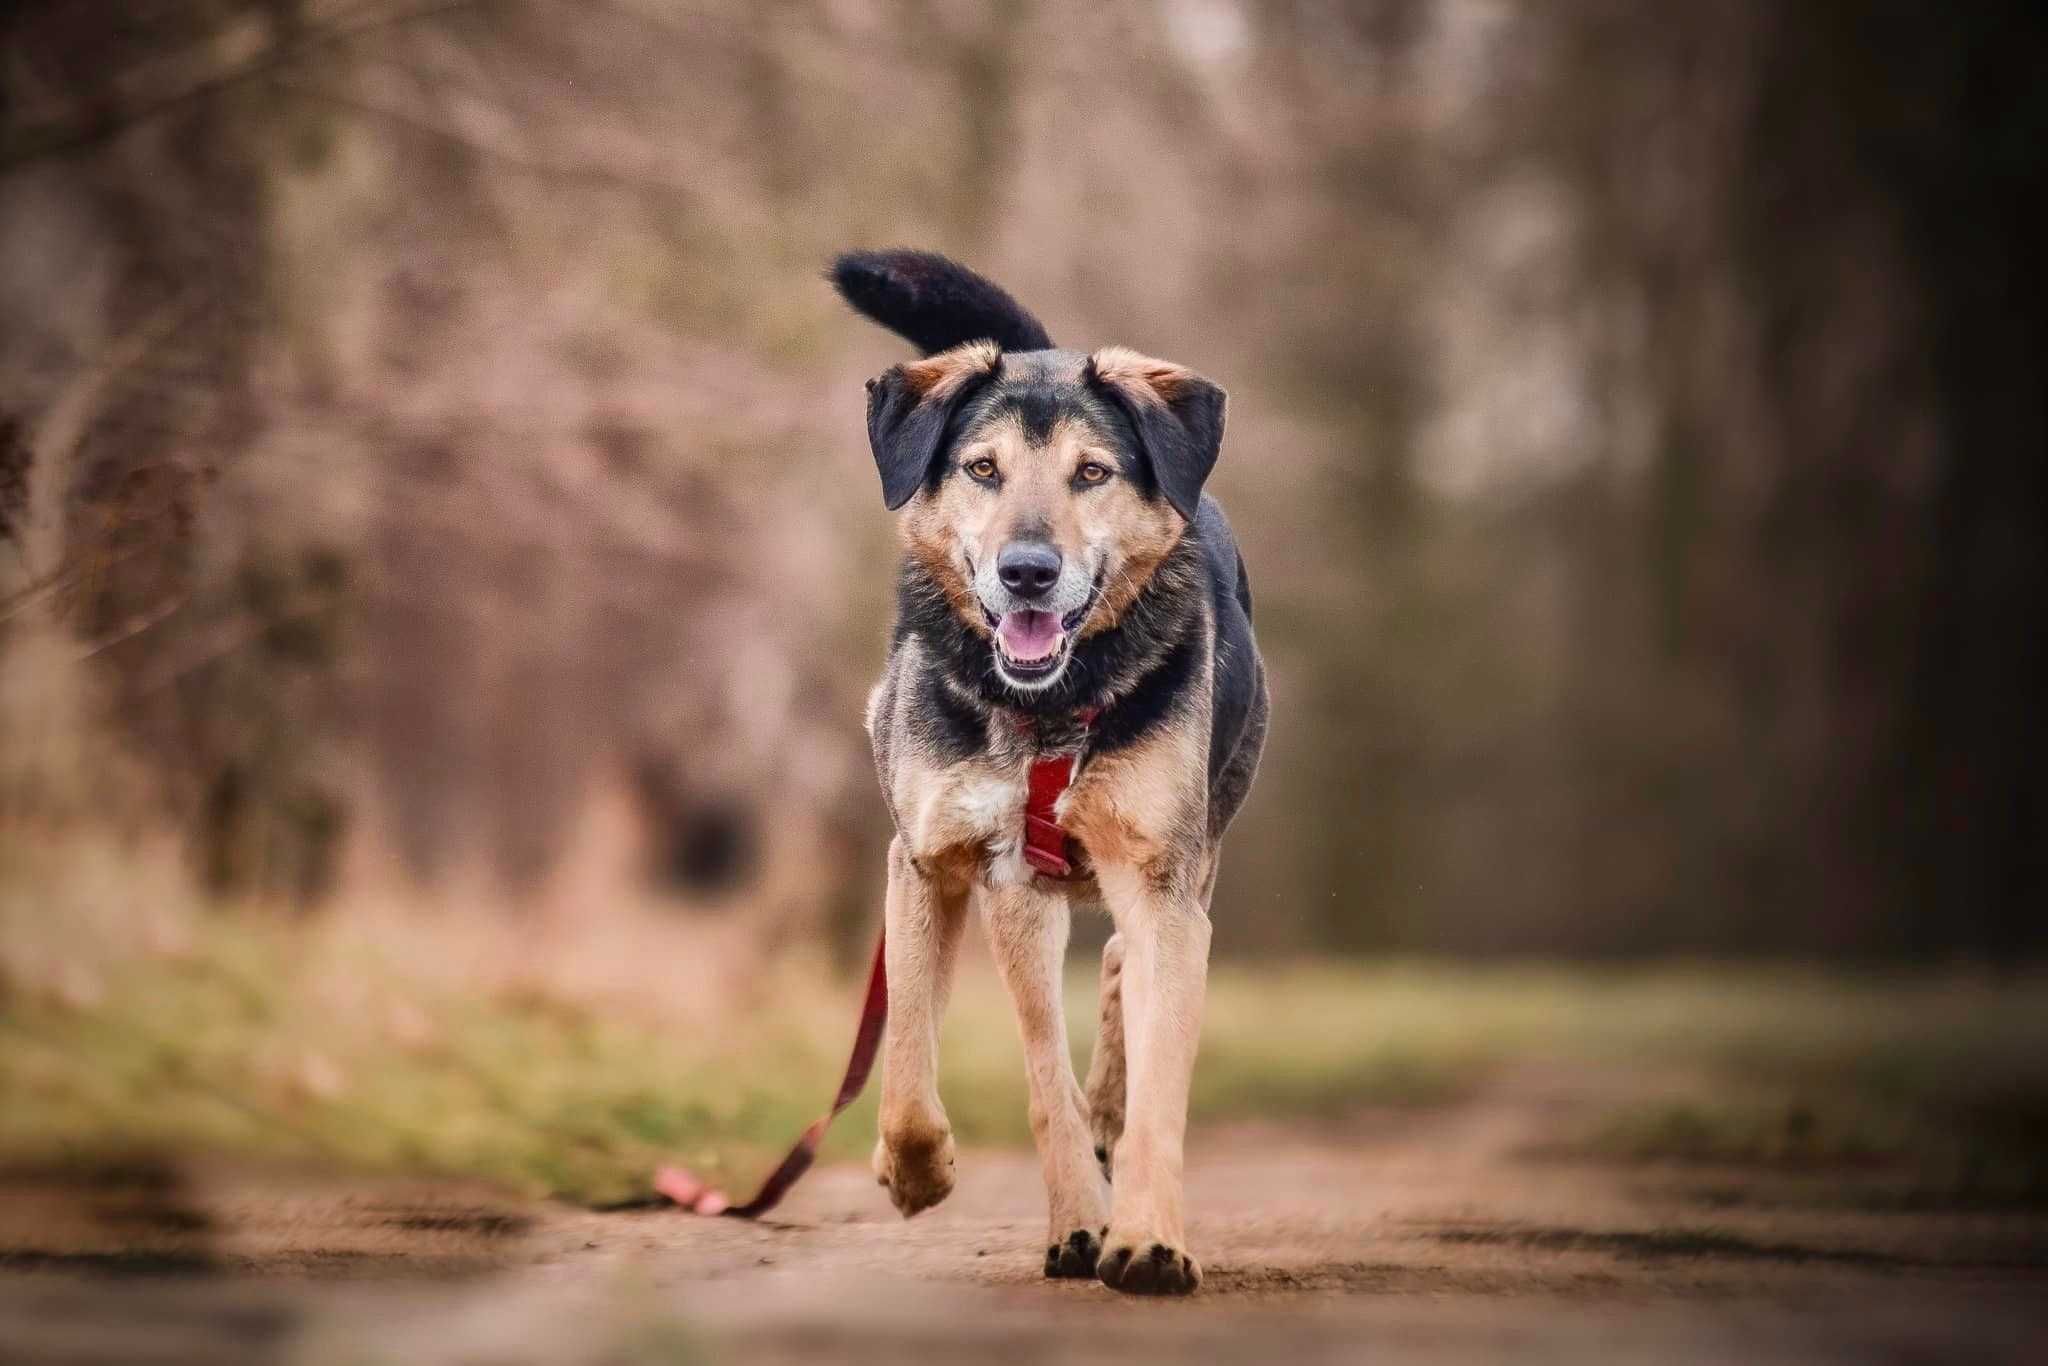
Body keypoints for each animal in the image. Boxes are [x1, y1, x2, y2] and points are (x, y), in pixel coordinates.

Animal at [831, 250, 1261, 1302]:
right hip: (1013, 897)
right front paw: (916, 1171)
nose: (1027, 571)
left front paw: (1147, 1239)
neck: (1049, 706)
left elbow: (1157, 1094)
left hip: (1193, 856)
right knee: (1031, 1043)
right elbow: (916, 1067)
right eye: (982, 469)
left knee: (1125, 976)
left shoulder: (1157, 875)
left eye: (1092, 473)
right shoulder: (938, 863)